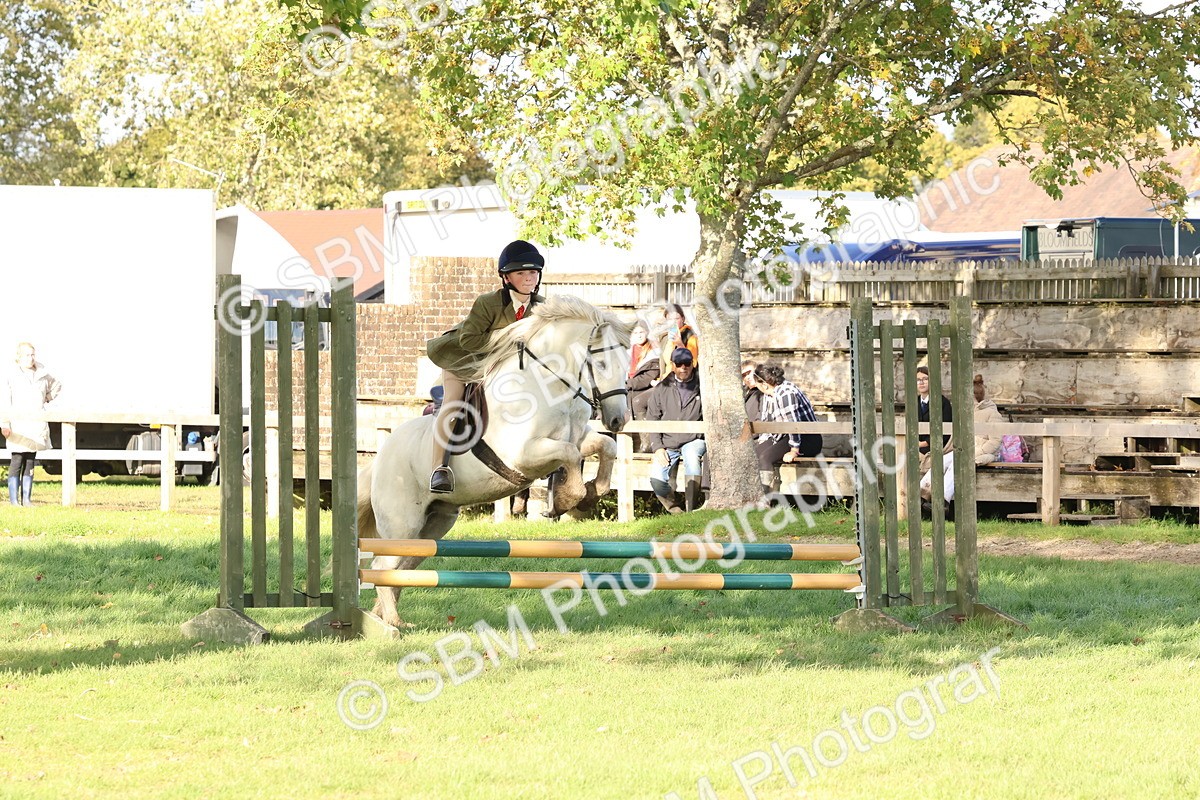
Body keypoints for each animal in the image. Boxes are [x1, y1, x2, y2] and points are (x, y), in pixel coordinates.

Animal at [357, 295, 633, 629]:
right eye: (601, 364)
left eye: (626, 365)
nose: (618, 420)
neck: (548, 386)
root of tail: (379, 460)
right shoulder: (525, 454)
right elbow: (568, 454)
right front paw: (568, 499)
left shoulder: (577, 438)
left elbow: (604, 446)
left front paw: (592, 493)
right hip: (403, 524)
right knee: (383, 564)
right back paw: (392, 624)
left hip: (433, 525)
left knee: (402, 567)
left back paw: (387, 618)